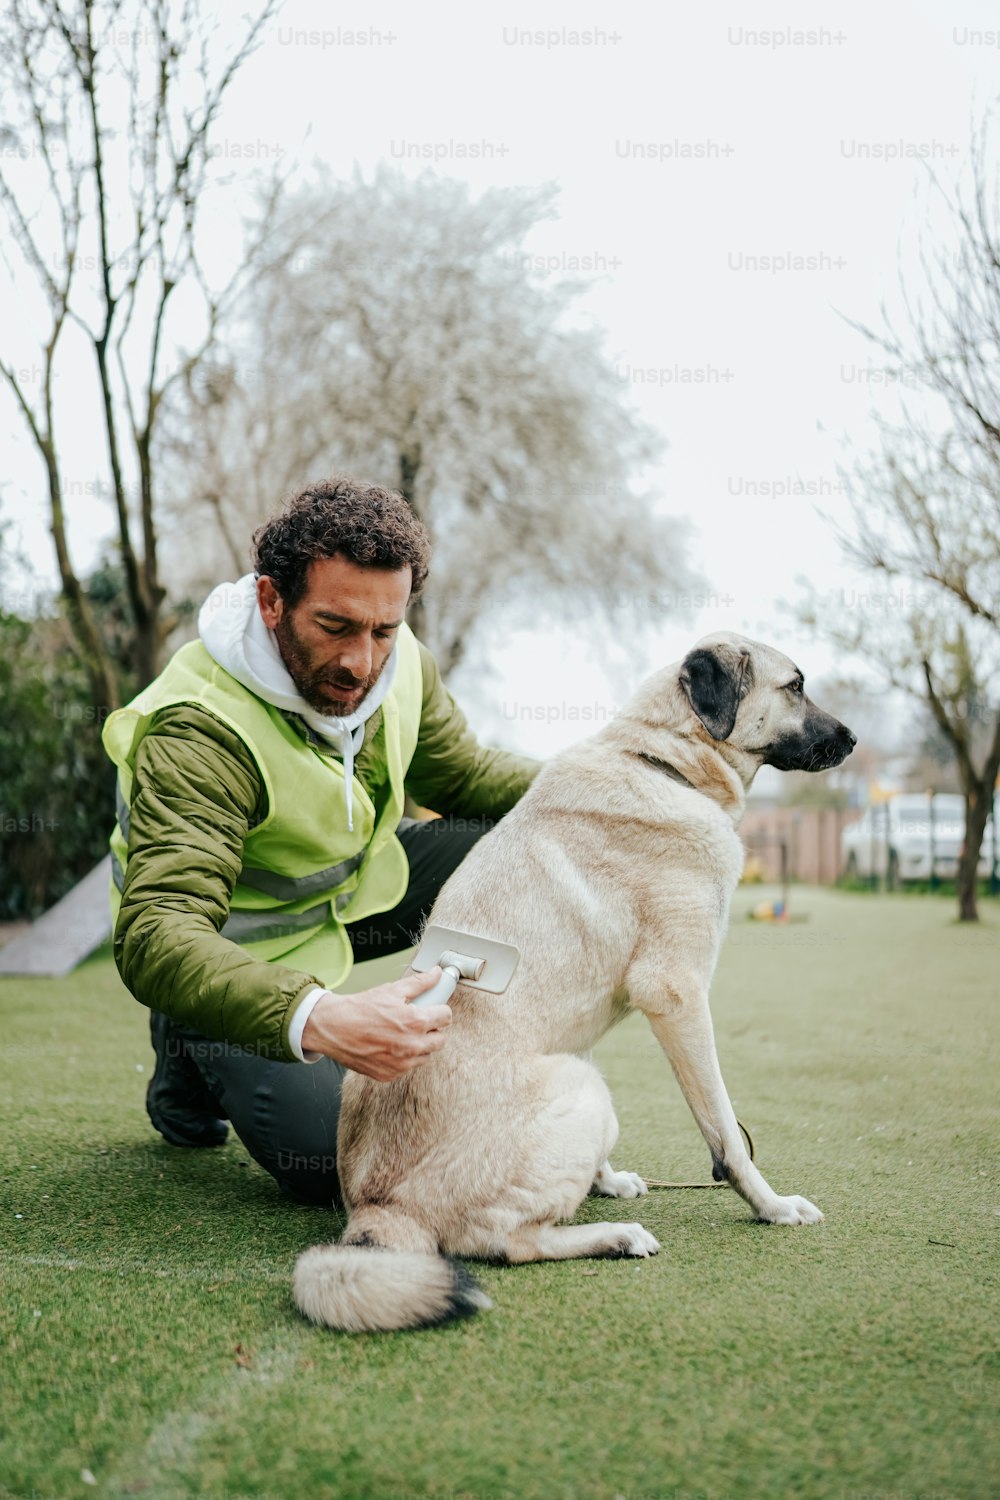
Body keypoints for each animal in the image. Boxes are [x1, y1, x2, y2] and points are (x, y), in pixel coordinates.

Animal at [293, 627, 857, 1332]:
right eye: (796, 687)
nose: (853, 739)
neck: (664, 762)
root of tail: (375, 1209)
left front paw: (606, 1177)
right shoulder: (677, 995)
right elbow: (728, 1135)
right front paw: (771, 1206)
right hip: (583, 1089)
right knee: (507, 1243)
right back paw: (614, 1237)